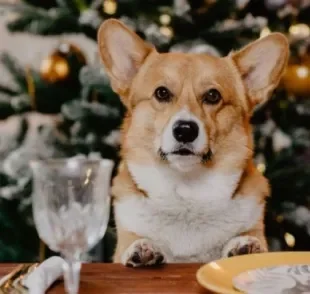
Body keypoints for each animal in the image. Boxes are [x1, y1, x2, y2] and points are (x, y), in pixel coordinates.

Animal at [97, 18, 288, 266]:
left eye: (213, 96)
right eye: (161, 93)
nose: (185, 130)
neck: (187, 194)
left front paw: (244, 245)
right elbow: (132, 244)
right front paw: (141, 249)